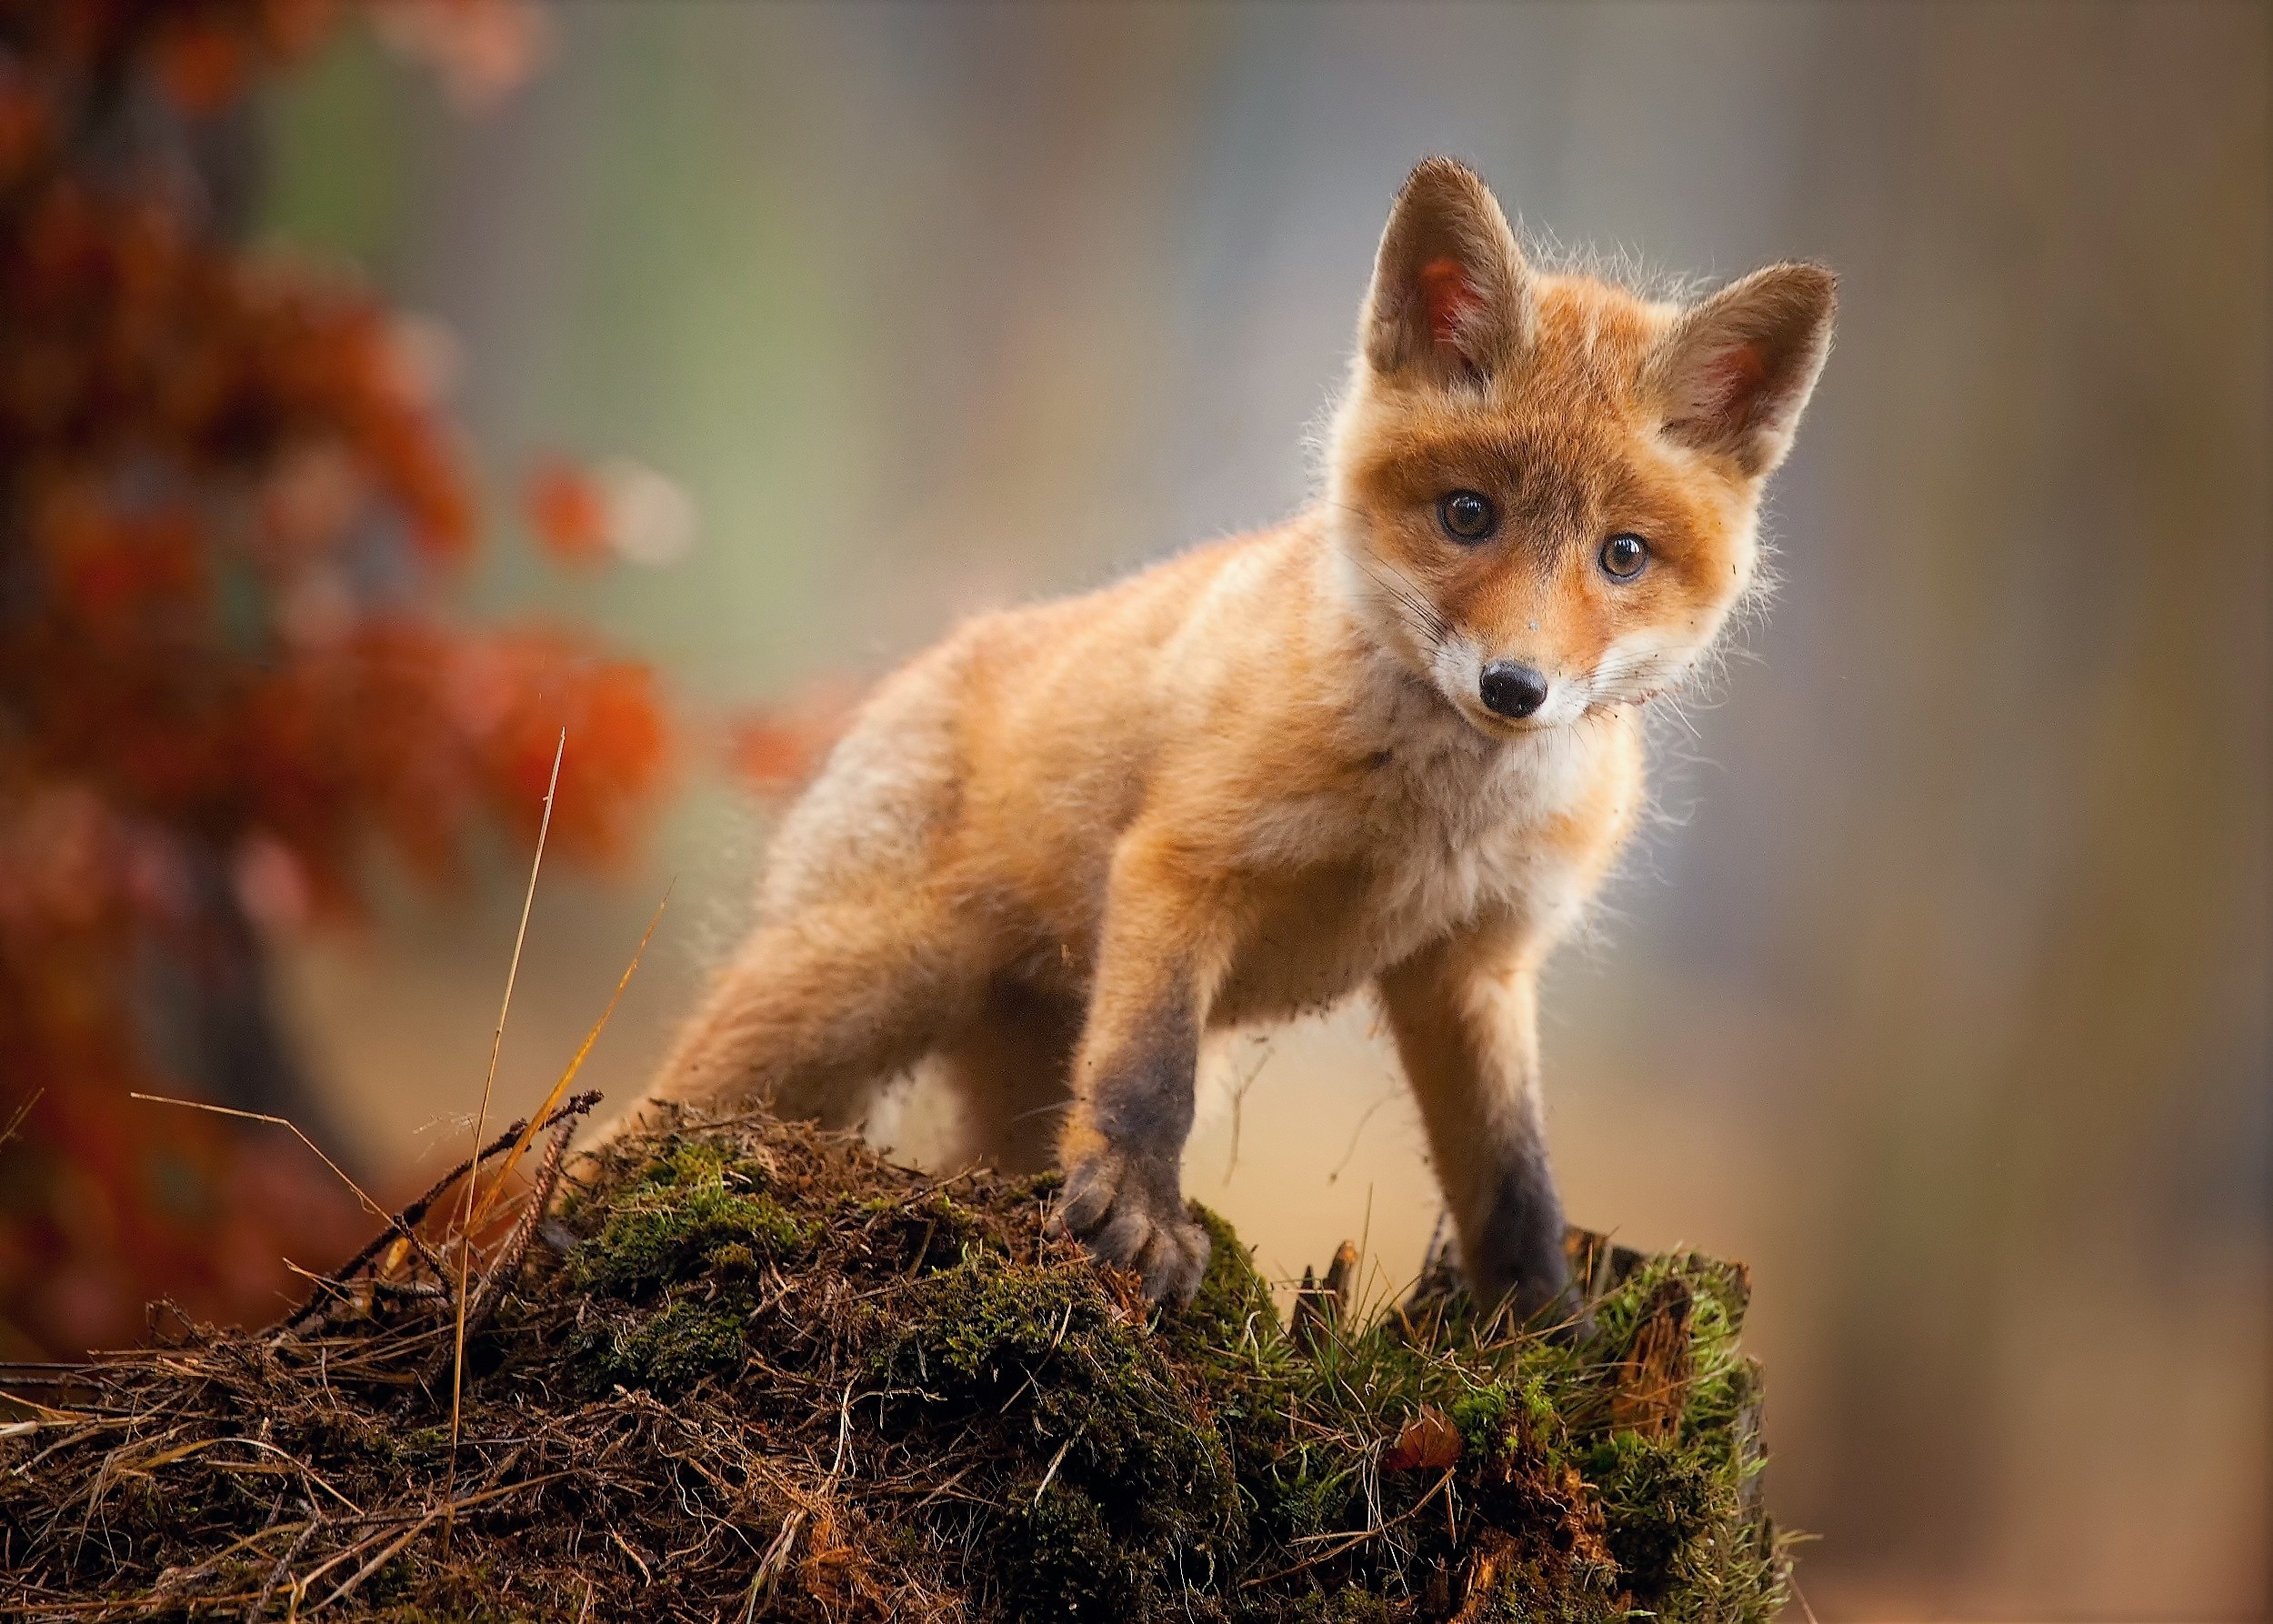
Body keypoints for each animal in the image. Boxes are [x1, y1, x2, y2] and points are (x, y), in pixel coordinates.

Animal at [623, 157, 1827, 1309]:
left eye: (1622, 555)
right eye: (1467, 514)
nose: (1514, 685)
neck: (1433, 818)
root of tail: (928, 662)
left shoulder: (1473, 964)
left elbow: (1514, 1183)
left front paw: (1542, 1329)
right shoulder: (1185, 862)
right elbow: (1152, 1076)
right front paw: (1139, 1215)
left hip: (1003, 1073)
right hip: (840, 996)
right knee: (639, 1118)